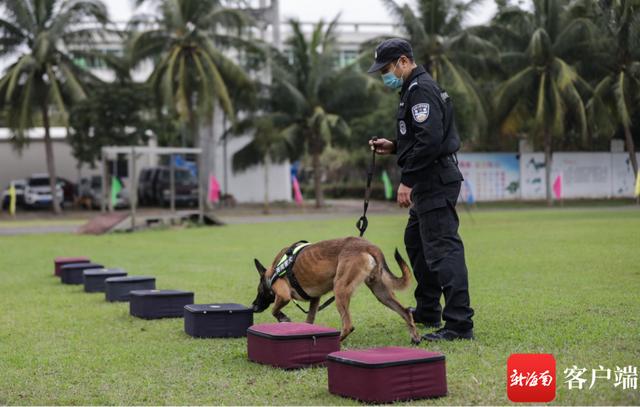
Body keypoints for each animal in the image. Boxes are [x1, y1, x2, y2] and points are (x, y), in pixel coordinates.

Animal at [252, 236, 422, 344]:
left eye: (259, 291)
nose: (253, 307)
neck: (273, 272)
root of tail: (369, 246)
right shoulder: (315, 299)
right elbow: (309, 321)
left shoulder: (283, 295)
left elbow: (274, 310)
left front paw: (283, 318)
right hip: (381, 293)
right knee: (405, 312)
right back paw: (415, 337)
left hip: (340, 289)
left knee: (348, 326)